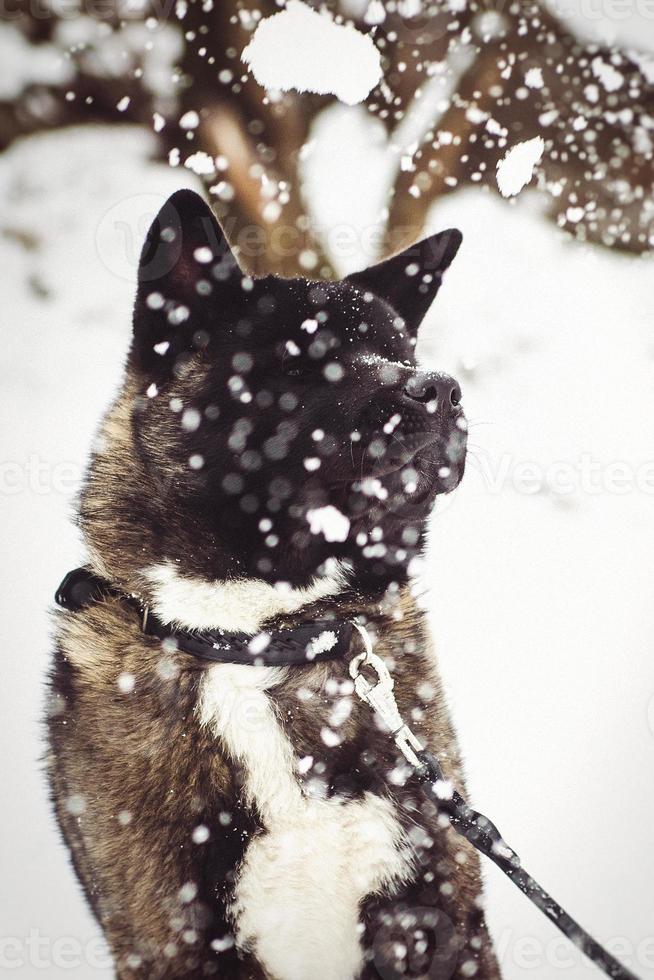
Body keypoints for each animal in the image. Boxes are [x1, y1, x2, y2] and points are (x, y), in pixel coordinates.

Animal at [47, 191, 502, 980]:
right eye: (305, 359)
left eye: (403, 353)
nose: (442, 390)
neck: (258, 639)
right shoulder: (172, 942)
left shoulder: (441, 921)